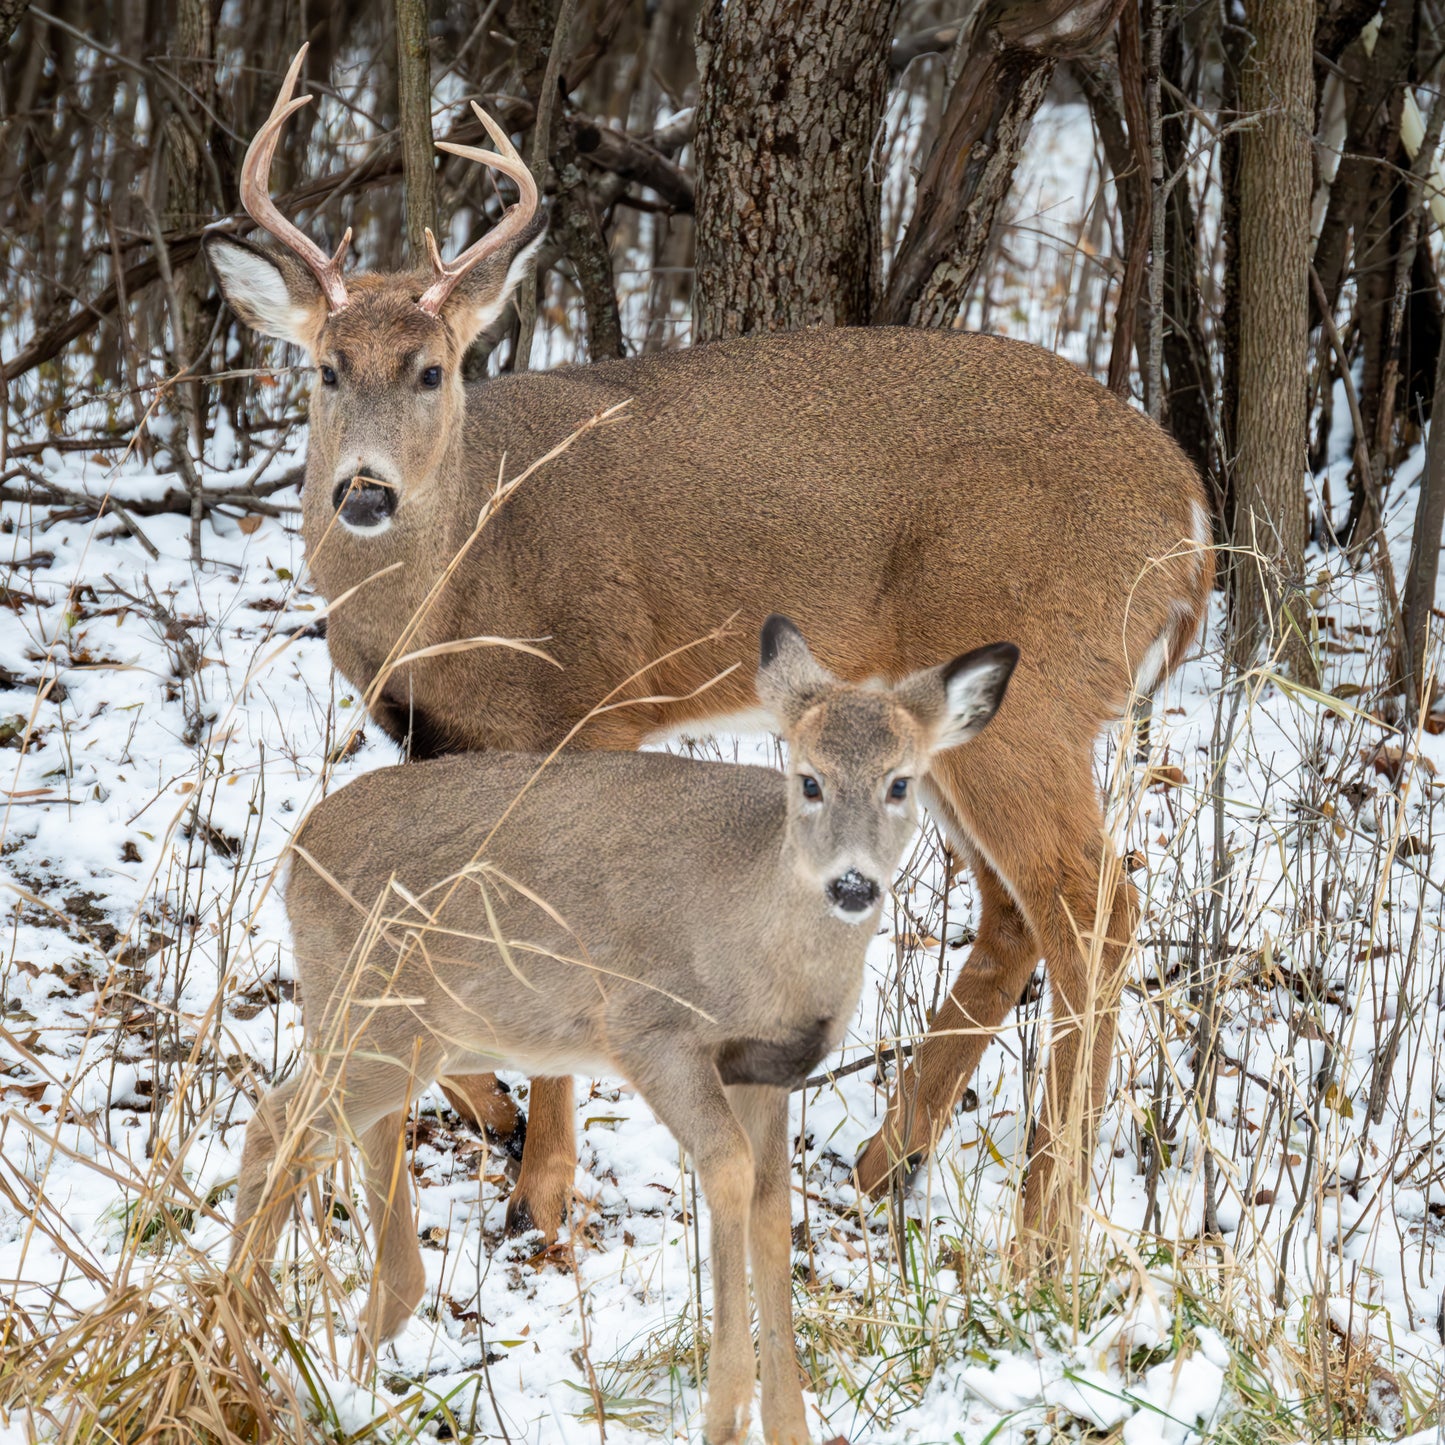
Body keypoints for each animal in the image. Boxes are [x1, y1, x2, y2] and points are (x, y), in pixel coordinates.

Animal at [206, 48, 1214, 1257]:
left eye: (432, 371)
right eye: (323, 367)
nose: (364, 490)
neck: (459, 590)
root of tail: (1191, 521)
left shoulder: (593, 702)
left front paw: (541, 1188)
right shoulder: (435, 735)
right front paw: (487, 1104)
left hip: (1040, 696)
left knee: (1092, 908)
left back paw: (1040, 1228)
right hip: (956, 718)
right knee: (1017, 909)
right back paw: (886, 1162)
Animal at [230, 616, 1017, 1444]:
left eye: (901, 782)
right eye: (808, 779)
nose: (853, 882)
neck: (760, 934)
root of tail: (296, 853)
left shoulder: (768, 1070)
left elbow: (771, 1205)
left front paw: (784, 1424)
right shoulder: (651, 1030)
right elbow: (727, 1172)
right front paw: (726, 1410)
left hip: (389, 1028)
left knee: (349, 1134)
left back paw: (351, 1352)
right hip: (373, 1018)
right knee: (275, 1122)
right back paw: (238, 1342)